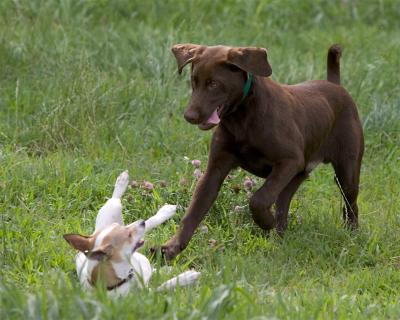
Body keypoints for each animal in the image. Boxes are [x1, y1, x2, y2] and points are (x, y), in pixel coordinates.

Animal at [63, 171, 200, 296]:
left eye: (121, 228)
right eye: (128, 235)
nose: (141, 221)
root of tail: (95, 232)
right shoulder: (147, 294)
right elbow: (163, 286)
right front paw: (186, 278)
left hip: (111, 214)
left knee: (117, 200)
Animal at [161, 43, 364, 260]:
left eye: (214, 84)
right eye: (194, 81)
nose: (189, 116)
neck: (242, 117)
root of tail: (335, 85)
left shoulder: (289, 161)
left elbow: (259, 199)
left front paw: (265, 222)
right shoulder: (214, 171)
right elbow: (193, 212)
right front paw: (171, 248)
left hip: (346, 169)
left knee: (351, 203)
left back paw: (352, 235)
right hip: (297, 174)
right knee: (284, 204)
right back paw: (279, 237)